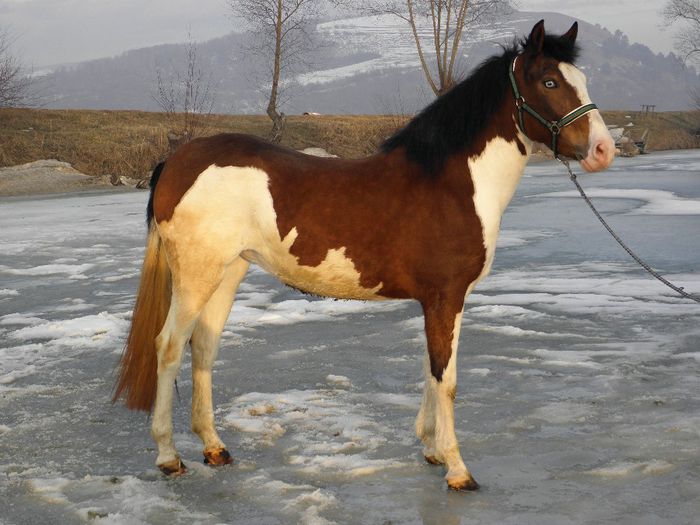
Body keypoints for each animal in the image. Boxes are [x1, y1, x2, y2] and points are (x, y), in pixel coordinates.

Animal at [113, 20, 615, 491]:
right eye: (549, 81)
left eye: (582, 77)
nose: (603, 151)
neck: (452, 184)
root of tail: (177, 162)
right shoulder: (446, 297)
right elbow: (447, 379)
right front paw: (457, 468)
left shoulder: (438, 302)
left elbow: (431, 370)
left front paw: (431, 450)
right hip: (196, 277)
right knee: (169, 347)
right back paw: (169, 456)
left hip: (228, 272)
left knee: (204, 347)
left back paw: (214, 448)